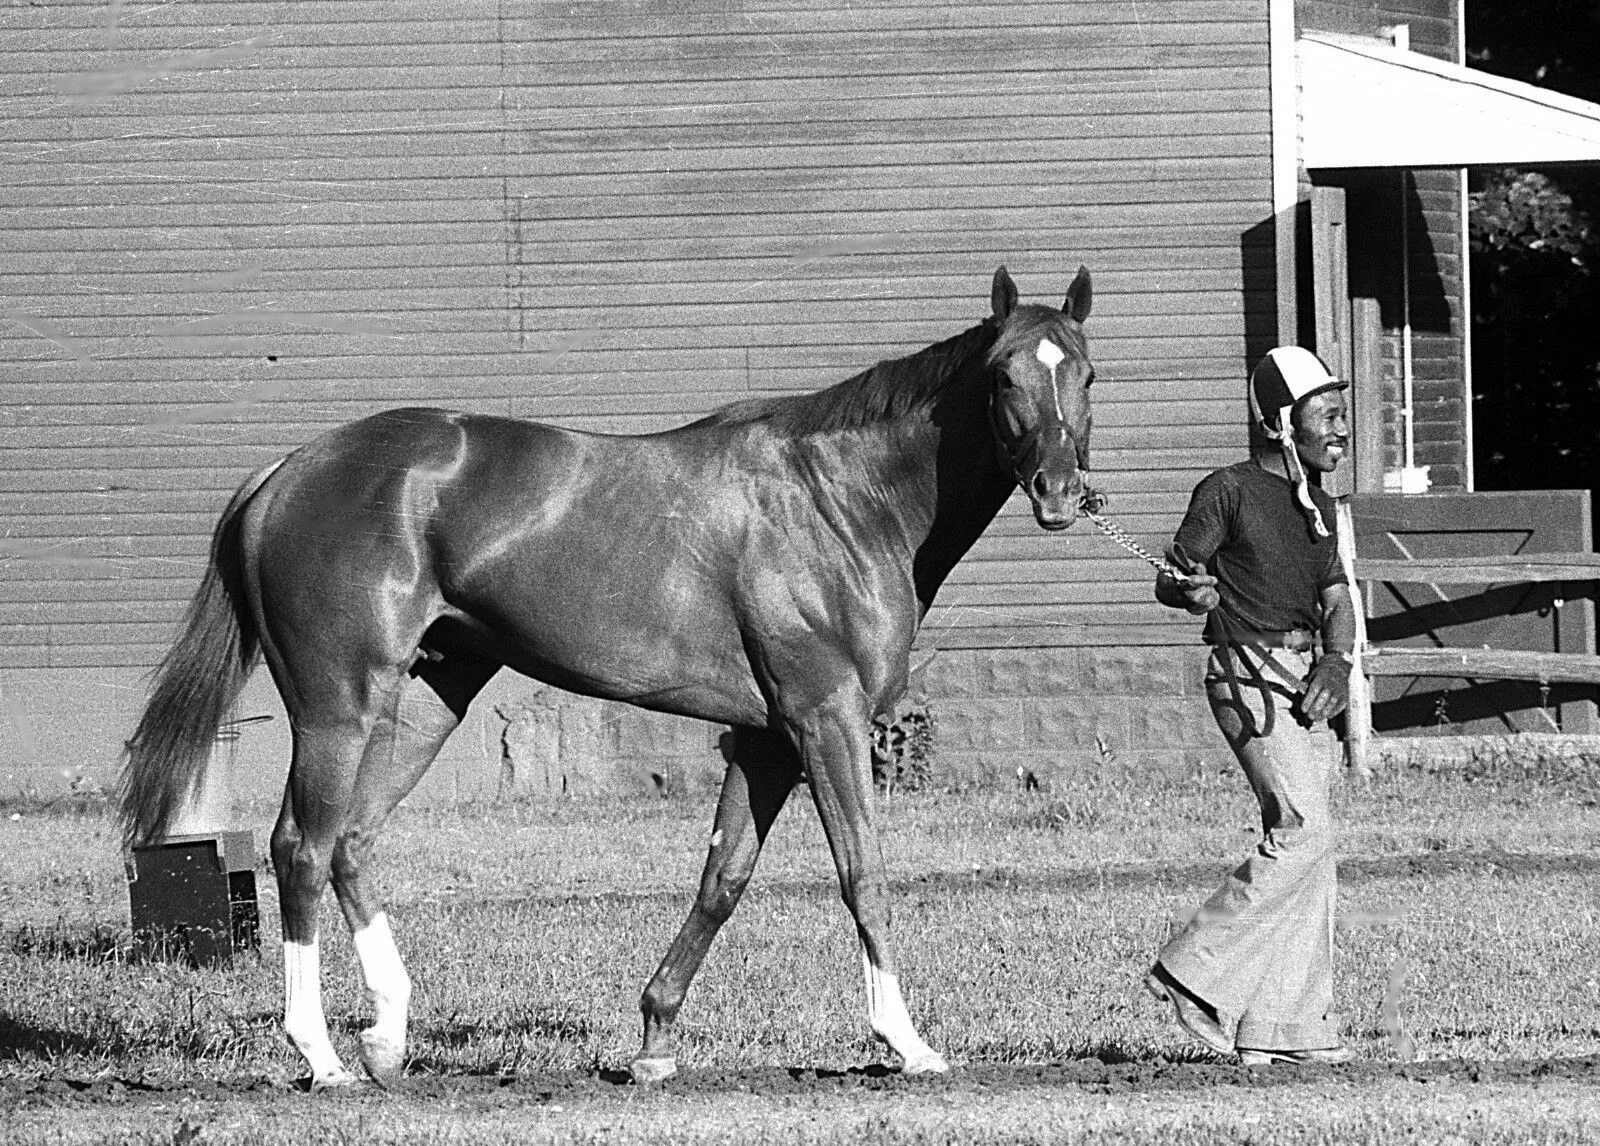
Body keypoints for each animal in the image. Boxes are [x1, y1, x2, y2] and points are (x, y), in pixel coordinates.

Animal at [118, 264, 1094, 1088]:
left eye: (1086, 374)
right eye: (1004, 376)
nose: (1058, 492)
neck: (838, 501)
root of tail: (286, 472)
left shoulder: (766, 739)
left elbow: (722, 879)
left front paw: (656, 1041)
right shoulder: (826, 720)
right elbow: (863, 873)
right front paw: (907, 1042)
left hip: (426, 702)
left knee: (352, 842)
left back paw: (388, 1034)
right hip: (339, 706)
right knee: (302, 847)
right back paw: (320, 1055)